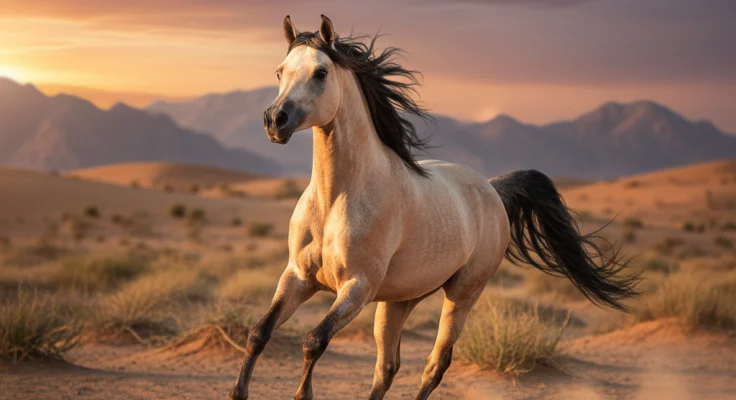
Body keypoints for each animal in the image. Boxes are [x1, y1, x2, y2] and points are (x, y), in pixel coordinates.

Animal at [230, 15, 638, 400]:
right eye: (280, 71)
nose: (275, 120)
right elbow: (258, 333)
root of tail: (492, 189)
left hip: (462, 295)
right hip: (398, 301)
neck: (336, 201)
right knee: (387, 368)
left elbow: (314, 342)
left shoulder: (356, 287)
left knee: (435, 364)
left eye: (321, 72)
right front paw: (238, 391)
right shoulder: (297, 277)